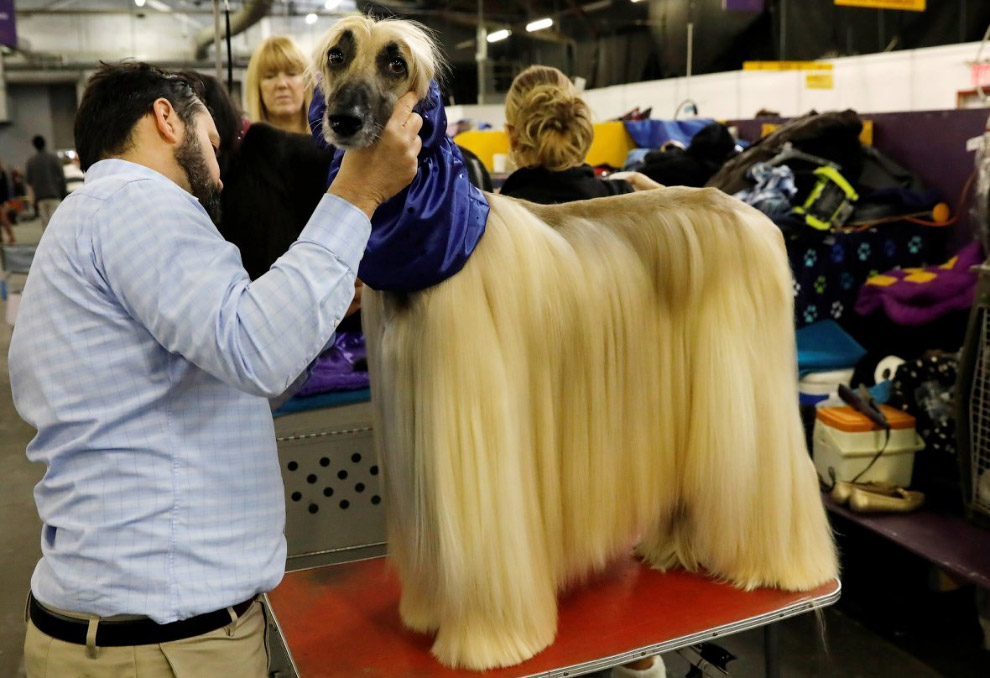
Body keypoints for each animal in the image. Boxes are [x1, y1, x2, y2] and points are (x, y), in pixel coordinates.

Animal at [314, 13, 840, 672]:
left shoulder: (474, 429)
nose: (343, 120)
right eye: (336, 55)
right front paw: (429, 612)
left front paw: (490, 641)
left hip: (744, 390)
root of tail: (752, 215)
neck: (437, 236)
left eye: (395, 62)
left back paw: (783, 565)